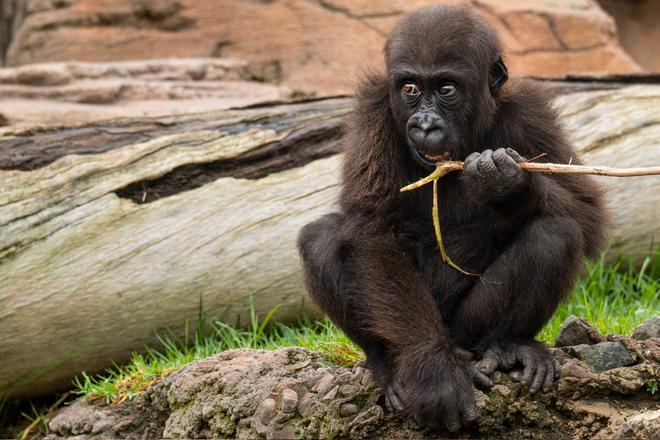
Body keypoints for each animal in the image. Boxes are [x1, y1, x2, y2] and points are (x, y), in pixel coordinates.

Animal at [296, 4, 604, 434]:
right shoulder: (374, 111)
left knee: (556, 233)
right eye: (410, 88)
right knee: (322, 237)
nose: (425, 125)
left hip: (464, 333)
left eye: (446, 89)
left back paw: (507, 346)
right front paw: (435, 373)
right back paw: (389, 366)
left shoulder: (530, 111)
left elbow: (587, 211)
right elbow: (373, 233)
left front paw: (510, 184)